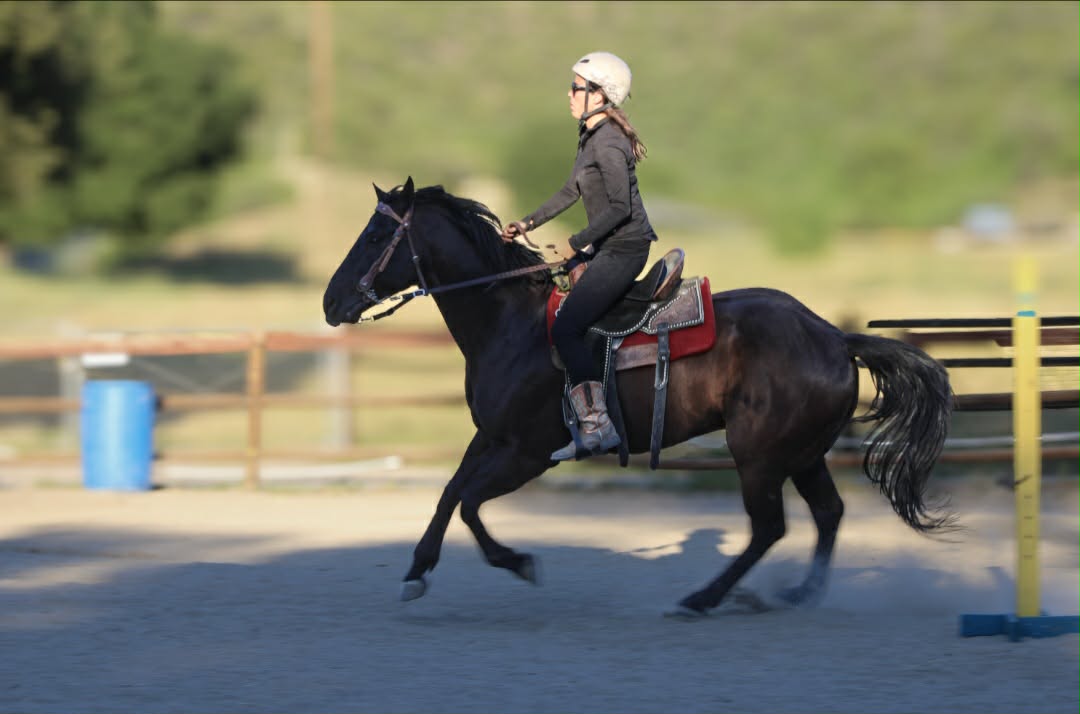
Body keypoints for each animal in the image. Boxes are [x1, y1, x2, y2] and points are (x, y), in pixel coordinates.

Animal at [322, 177, 955, 616]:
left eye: (375, 236)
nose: (331, 303)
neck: (512, 324)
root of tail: (833, 336)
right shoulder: (492, 438)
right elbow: (451, 493)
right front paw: (417, 570)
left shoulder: (528, 453)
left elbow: (472, 504)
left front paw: (518, 562)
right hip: (802, 453)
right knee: (827, 514)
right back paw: (796, 593)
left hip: (759, 455)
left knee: (770, 528)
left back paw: (702, 599)